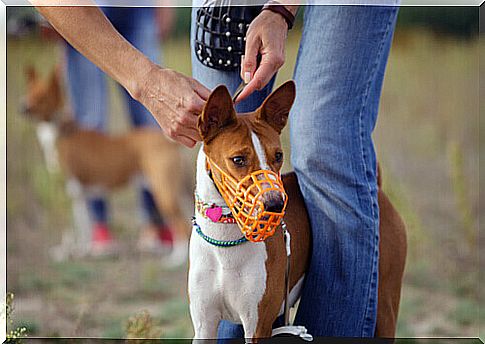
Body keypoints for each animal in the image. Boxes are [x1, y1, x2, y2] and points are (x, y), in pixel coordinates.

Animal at [22, 65, 192, 264]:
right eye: (29, 92)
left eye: (41, 97)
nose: (22, 107)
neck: (60, 131)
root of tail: (168, 142)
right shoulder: (79, 196)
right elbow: (83, 229)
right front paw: (81, 251)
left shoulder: (69, 192)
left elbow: (71, 230)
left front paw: (67, 253)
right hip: (182, 190)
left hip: (164, 194)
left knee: (181, 225)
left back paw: (176, 259)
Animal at [187, 80, 406, 342]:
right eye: (238, 159)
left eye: (278, 156)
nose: (275, 204)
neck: (224, 243)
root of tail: (378, 191)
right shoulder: (204, 324)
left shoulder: (257, 326)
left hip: (385, 304)